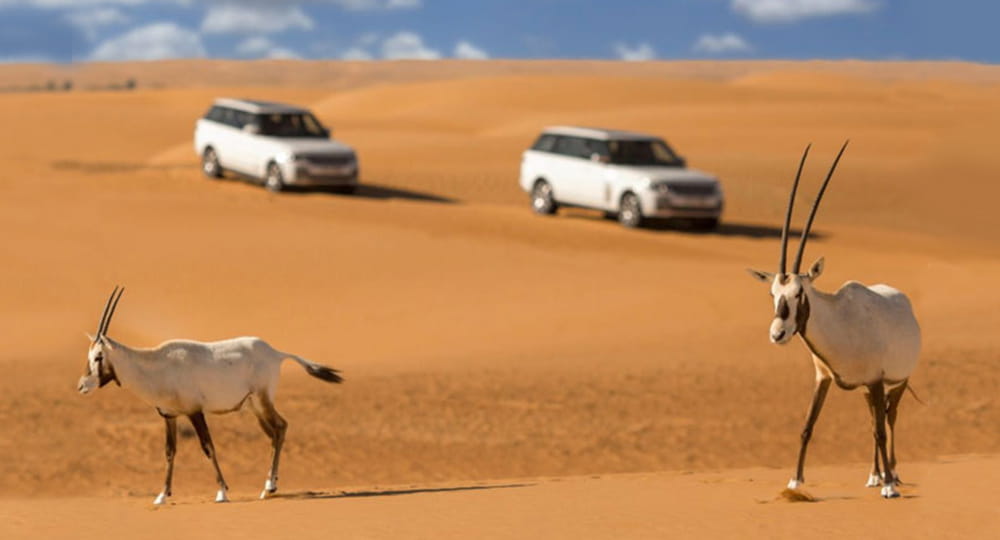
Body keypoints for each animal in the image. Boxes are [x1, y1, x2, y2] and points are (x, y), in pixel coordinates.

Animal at [78, 288, 344, 504]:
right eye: (89, 356)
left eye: (98, 356)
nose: (82, 386)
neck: (158, 365)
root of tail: (276, 353)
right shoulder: (170, 416)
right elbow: (169, 452)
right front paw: (162, 495)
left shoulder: (195, 412)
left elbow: (208, 447)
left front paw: (222, 492)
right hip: (254, 407)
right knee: (274, 433)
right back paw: (268, 488)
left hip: (262, 400)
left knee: (281, 427)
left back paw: (269, 486)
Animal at [752, 142, 920, 498]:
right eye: (773, 293)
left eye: (800, 291)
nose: (778, 334)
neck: (839, 322)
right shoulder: (825, 378)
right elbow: (807, 426)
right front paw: (795, 480)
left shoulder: (876, 379)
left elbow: (880, 430)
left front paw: (890, 487)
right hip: (870, 390)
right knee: (875, 420)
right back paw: (874, 475)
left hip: (897, 381)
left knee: (890, 419)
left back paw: (892, 474)